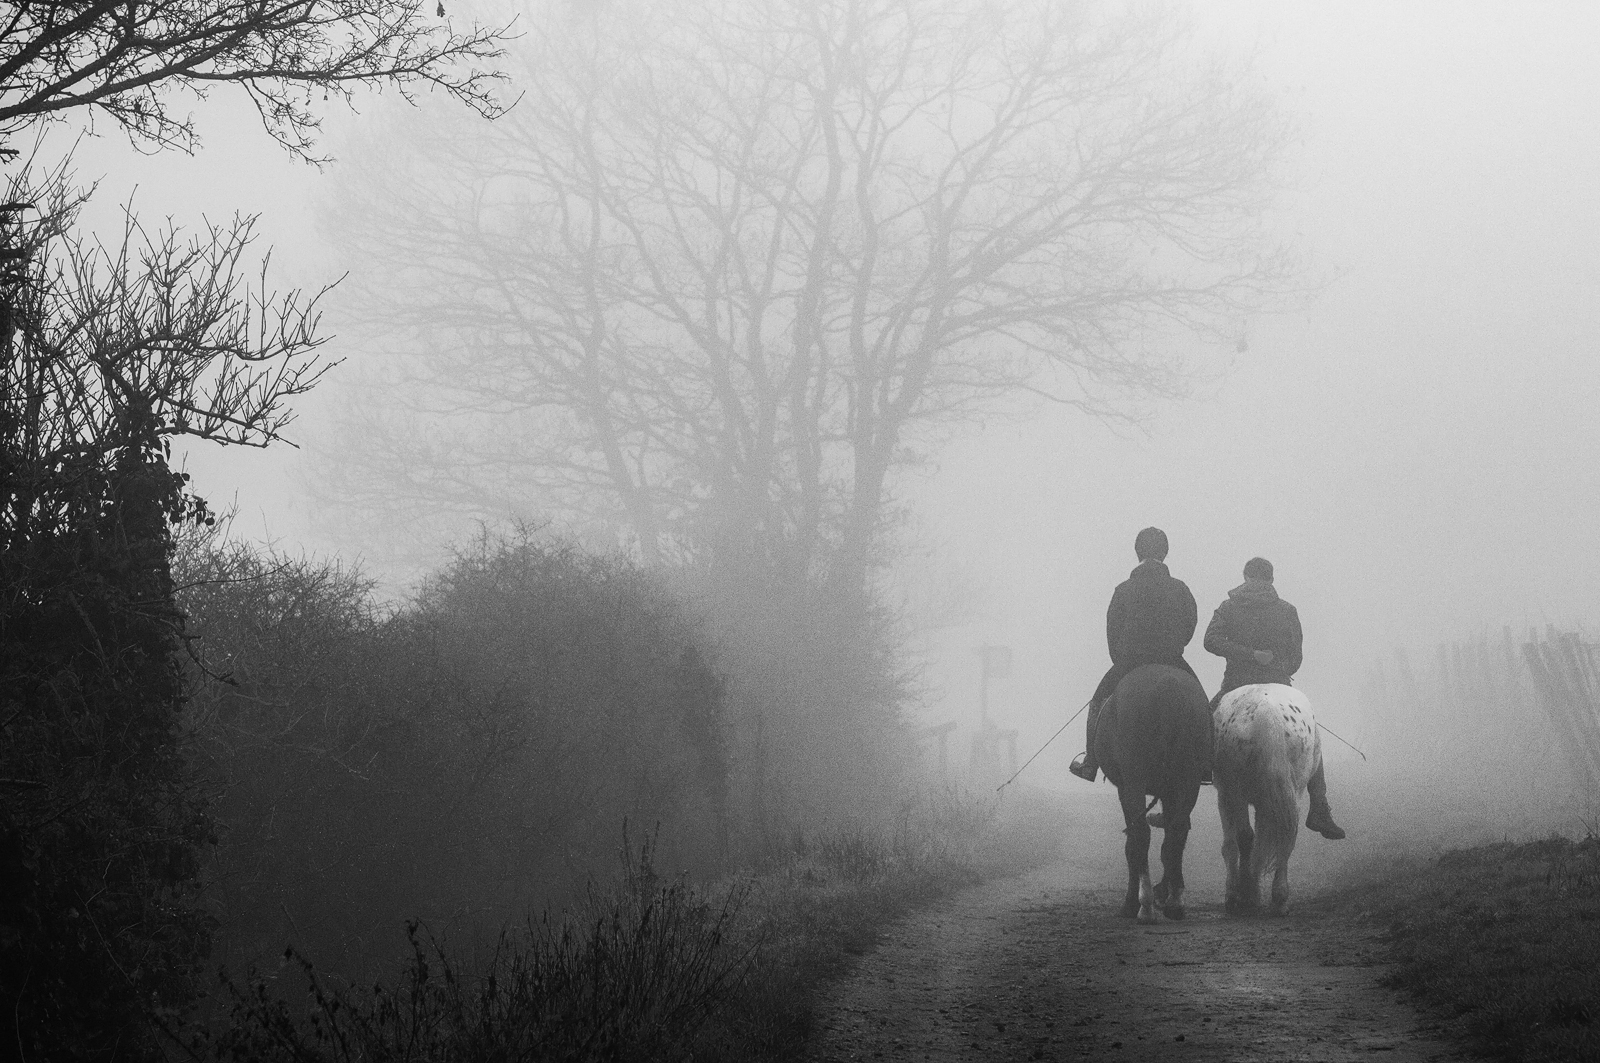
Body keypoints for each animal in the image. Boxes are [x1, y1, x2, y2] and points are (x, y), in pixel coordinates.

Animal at [1100, 665, 1209, 922]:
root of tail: (1168, 685)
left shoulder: (1125, 787)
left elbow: (1132, 843)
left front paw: (1132, 903)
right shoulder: (1171, 790)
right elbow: (1169, 838)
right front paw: (1166, 892)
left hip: (1135, 781)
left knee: (1141, 836)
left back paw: (1144, 906)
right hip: (1188, 780)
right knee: (1176, 833)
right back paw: (1174, 904)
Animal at [1209, 685, 1324, 915]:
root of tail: (1268, 713)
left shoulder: (1225, 795)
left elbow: (1233, 845)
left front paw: (1238, 895)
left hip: (1237, 794)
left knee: (1246, 838)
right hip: (1289, 792)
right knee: (1286, 838)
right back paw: (1279, 899)